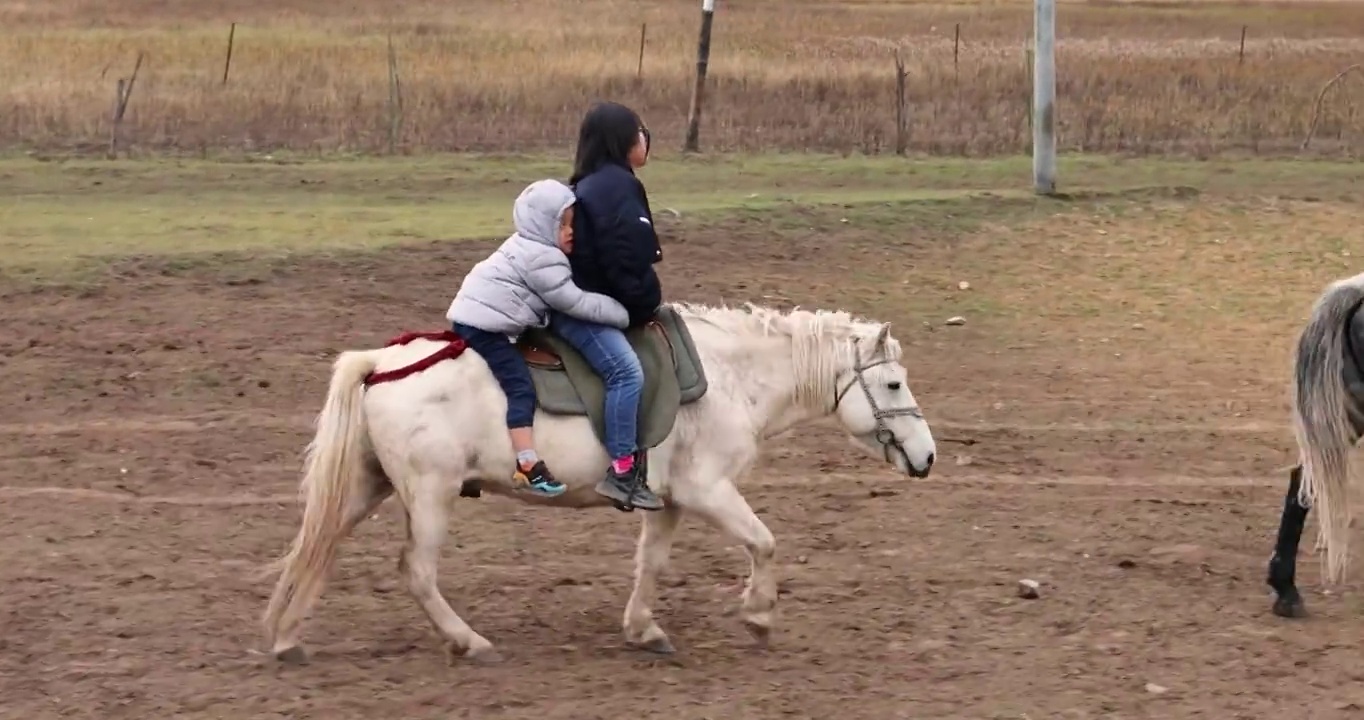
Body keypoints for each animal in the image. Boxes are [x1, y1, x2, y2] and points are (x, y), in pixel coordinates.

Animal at [260, 301, 938, 660]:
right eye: (894, 384)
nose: (928, 456)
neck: (729, 378)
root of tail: (383, 362)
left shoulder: (669, 501)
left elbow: (652, 564)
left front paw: (643, 629)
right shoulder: (709, 491)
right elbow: (765, 542)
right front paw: (759, 615)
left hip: (365, 488)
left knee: (316, 547)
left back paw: (287, 636)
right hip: (430, 496)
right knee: (416, 572)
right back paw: (469, 640)